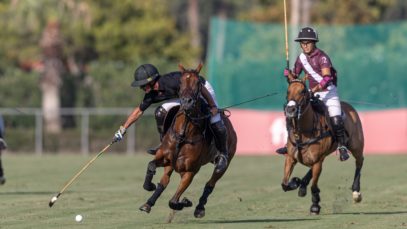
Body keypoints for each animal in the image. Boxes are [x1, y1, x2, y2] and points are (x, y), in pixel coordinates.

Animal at [139, 62, 237, 218]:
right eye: (180, 83)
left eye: (198, 83)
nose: (186, 102)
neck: (183, 134)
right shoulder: (165, 159)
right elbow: (151, 166)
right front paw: (149, 186)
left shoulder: (190, 171)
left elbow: (173, 201)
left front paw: (185, 202)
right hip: (170, 164)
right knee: (164, 181)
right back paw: (149, 203)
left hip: (225, 162)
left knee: (211, 182)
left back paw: (200, 208)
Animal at [282, 78, 364, 215]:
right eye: (288, 91)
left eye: (303, 91)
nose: (290, 110)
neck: (304, 132)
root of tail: (349, 106)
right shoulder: (291, 158)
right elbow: (284, 184)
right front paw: (296, 182)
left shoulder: (317, 161)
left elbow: (314, 186)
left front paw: (315, 206)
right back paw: (302, 186)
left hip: (356, 145)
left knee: (359, 161)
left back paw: (356, 192)